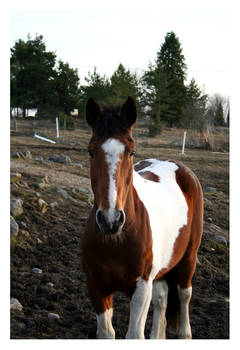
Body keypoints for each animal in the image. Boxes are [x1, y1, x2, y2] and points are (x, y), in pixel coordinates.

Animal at [82, 96, 202, 340]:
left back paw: (185, 333)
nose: (110, 220)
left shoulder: (141, 288)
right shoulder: (96, 287)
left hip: (189, 257)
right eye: (91, 151)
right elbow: (106, 332)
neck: (116, 240)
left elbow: (135, 335)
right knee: (163, 299)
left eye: (131, 151)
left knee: (184, 294)